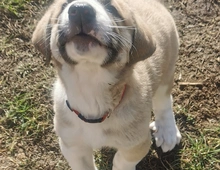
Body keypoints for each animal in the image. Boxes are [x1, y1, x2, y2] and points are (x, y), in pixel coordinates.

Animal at [31, 0, 181, 169]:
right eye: (64, 6)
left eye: (111, 8)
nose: (80, 9)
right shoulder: (72, 145)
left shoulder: (136, 145)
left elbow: (120, 161)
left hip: (167, 71)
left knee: (164, 100)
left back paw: (167, 131)